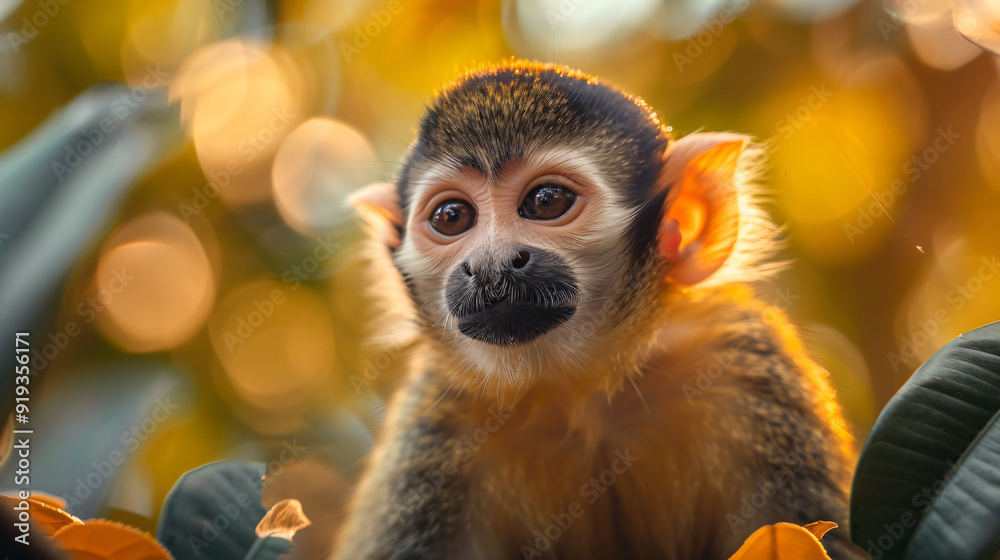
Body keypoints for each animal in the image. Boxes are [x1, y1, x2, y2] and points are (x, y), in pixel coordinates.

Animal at [334, 60, 860, 560]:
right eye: (452, 216)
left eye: (547, 201)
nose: (488, 266)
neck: (581, 396)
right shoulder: (439, 423)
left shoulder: (743, 365)